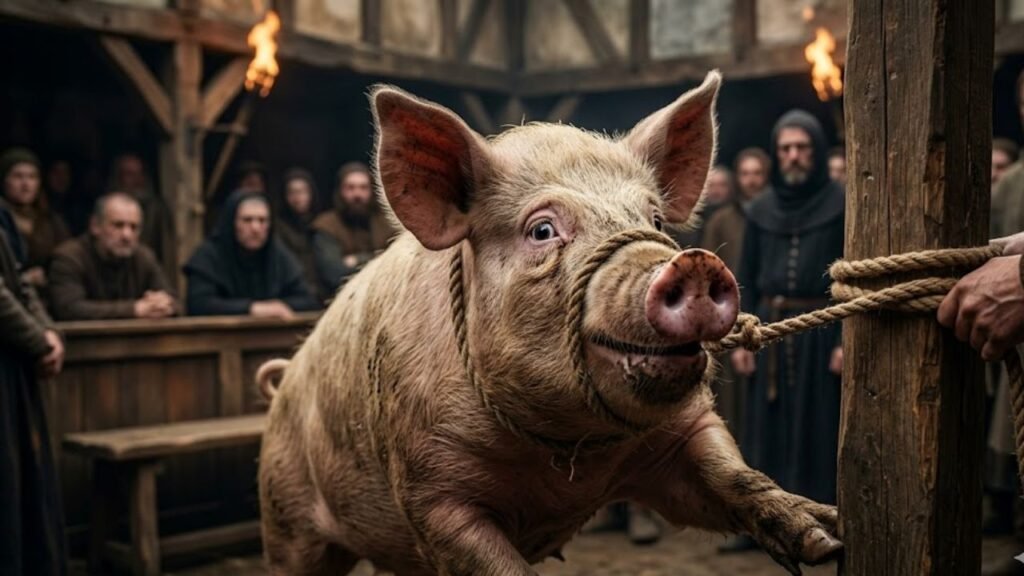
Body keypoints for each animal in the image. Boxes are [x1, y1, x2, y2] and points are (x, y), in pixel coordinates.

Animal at [257, 70, 841, 576]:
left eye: (654, 218)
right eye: (541, 230)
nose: (694, 263)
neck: (564, 459)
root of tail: (282, 383)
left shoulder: (683, 432)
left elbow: (732, 475)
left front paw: (826, 536)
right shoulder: (430, 493)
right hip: (285, 515)